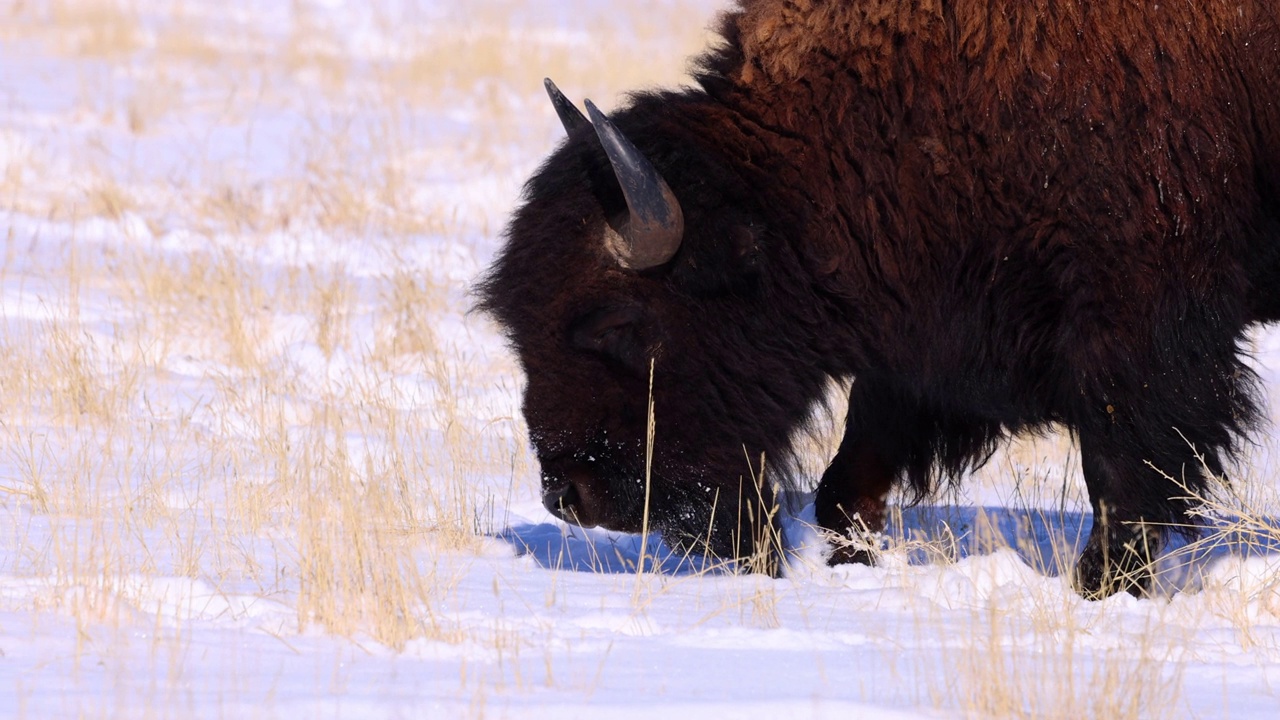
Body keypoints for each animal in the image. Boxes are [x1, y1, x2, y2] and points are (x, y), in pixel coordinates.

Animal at [478, 0, 1280, 594]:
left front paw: (1102, 589)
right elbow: (849, 476)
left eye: (621, 325)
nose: (571, 497)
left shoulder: (1137, 325)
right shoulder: (927, 341)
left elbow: (1123, 475)